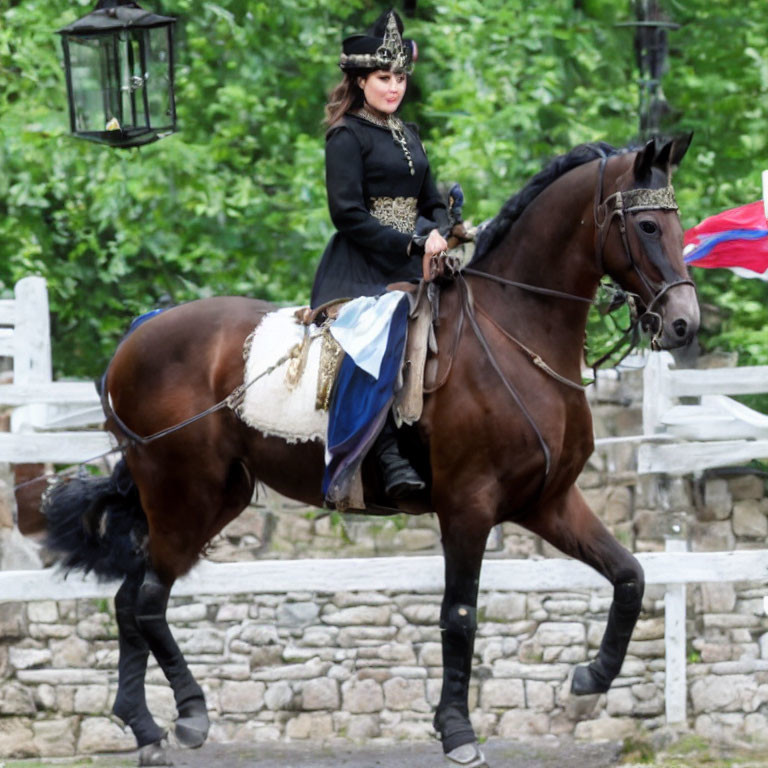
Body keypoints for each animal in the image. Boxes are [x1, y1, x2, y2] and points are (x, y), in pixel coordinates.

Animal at [45, 138, 700, 768]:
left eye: (678, 222)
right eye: (647, 226)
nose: (683, 324)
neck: (515, 334)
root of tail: (135, 336)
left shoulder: (550, 502)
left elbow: (630, 575)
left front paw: (592, 676)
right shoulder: (469, 507)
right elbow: (460, 616)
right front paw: (458, 732)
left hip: (208, 499)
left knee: (129, 599)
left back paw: (144, 729)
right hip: (184, 496)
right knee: (148, 601)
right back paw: (188, 716)